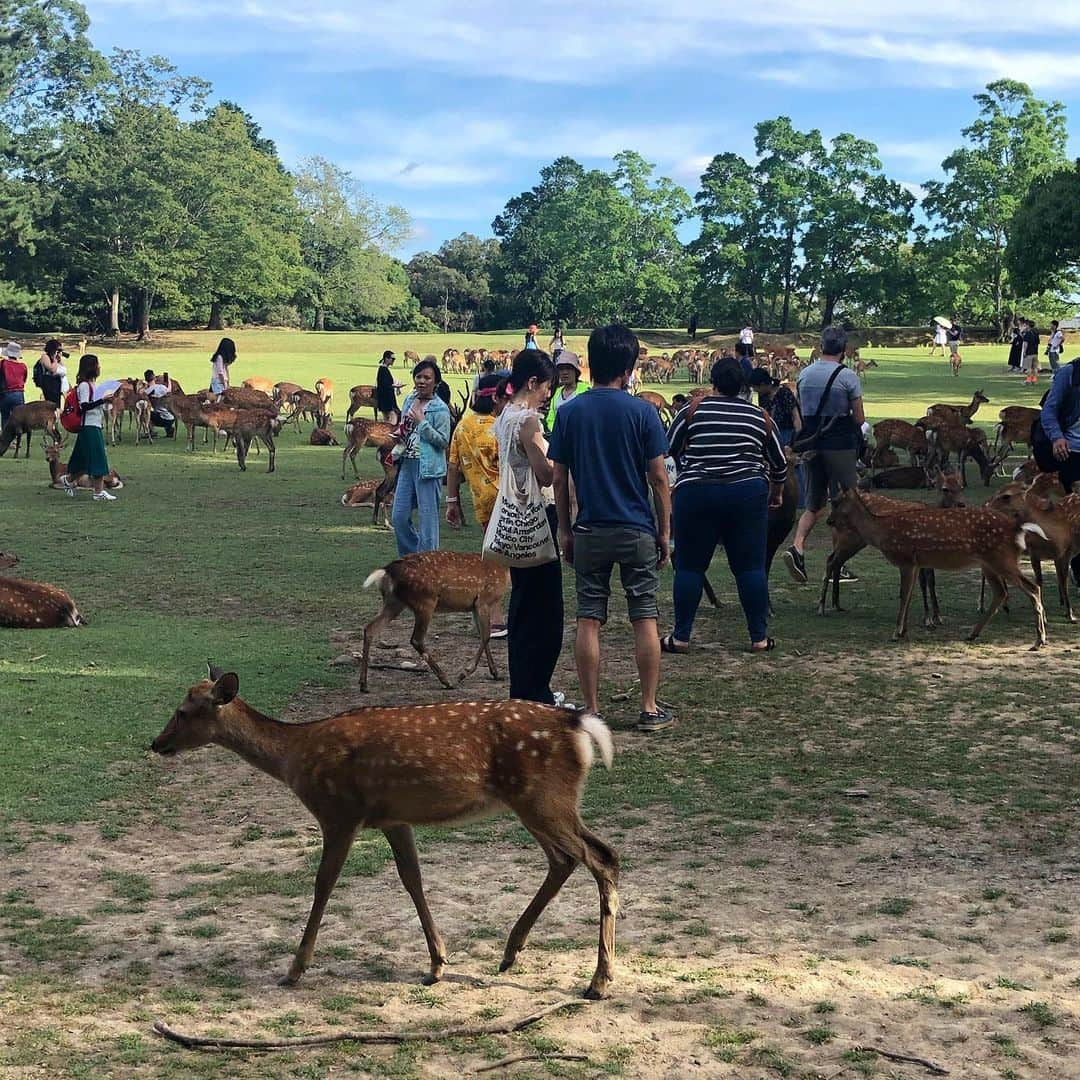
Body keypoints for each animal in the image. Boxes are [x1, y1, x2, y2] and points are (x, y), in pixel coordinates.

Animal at [155, 660, 622, 997]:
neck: (294, 759)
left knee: (602, 857)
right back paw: (511, 953)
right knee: (568, 859)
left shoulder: (339, 813)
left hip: (542, 798)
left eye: (182, 711)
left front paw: (294, 969)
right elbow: (412, 878)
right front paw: (436, 965)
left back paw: (598, 981)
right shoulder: (395, 818)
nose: (156, 743)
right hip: (537, 802)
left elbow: (323, 883)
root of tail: (579, 726)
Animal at [358, 548, 509, 691]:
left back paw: (363, 684)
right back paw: (447, 680)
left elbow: (483, 636)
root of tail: (387, 571)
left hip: (394, 602)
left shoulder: (474, 606)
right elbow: (486, 636)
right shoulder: (484, 601)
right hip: (425, 601)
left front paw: (495, 673)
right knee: (416, 639)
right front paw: (464, 673)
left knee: (369, 628)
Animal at [825, 490, 1045, 648]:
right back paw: (972, 634)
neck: (881, 531)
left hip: (1001, 559)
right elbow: (909, 595)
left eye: (835, 502)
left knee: (1032, 588)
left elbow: (903, 595)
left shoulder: (906, 560)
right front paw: (904, 631)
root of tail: (1017, 529)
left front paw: (896, 633)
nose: (829, 521)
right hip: (989, 563)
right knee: (1001, 593)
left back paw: (1039, 640)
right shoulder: (916, 564)